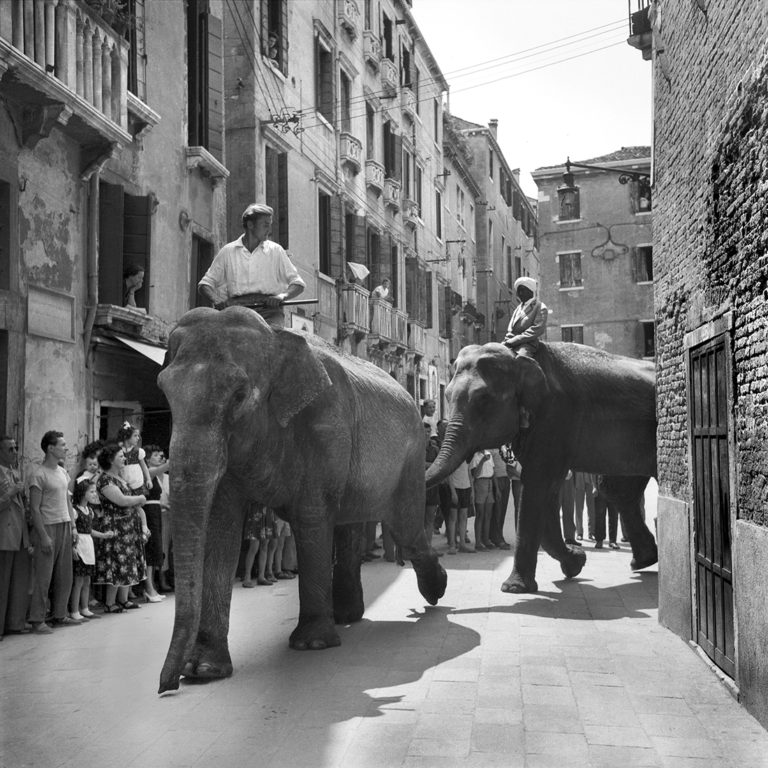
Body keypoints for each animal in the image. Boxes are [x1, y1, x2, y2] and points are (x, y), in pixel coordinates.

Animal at [156, 308, 444, 696]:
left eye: (239, 395)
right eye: (164, 391)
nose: (166, 687)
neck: (276, 336)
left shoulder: (327, 424)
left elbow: (312, 517)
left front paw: (312, 644)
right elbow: (220, 525)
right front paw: (204, 669)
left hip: (410, 461)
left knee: (407, 530)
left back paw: (435, 591)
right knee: (353, 528)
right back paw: (348, 615)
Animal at [424, 342, 656, 592]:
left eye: (483, 399)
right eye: (447, 396)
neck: (519, 358)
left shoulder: (554, 417)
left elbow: (537, 486)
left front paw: (514, 588)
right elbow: (545, 492)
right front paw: (575, 562)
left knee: (616, 488)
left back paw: (642, 561)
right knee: (616, 489)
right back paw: (643, 560)